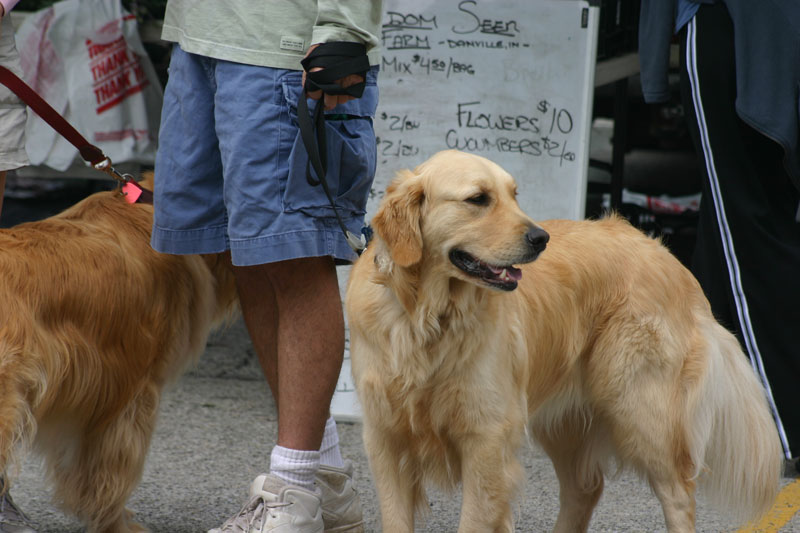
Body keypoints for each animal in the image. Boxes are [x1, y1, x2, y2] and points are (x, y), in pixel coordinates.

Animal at [346, 151, 780, 532]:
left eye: (514, 195)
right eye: (478, 199)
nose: (541, 237)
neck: (427, 319)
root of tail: (667, 255)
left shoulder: (486, 439)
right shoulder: (384, 439)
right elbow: (396, 518)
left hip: (641, 410)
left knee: (677, 493)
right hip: (567, 422)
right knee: (585, 489)